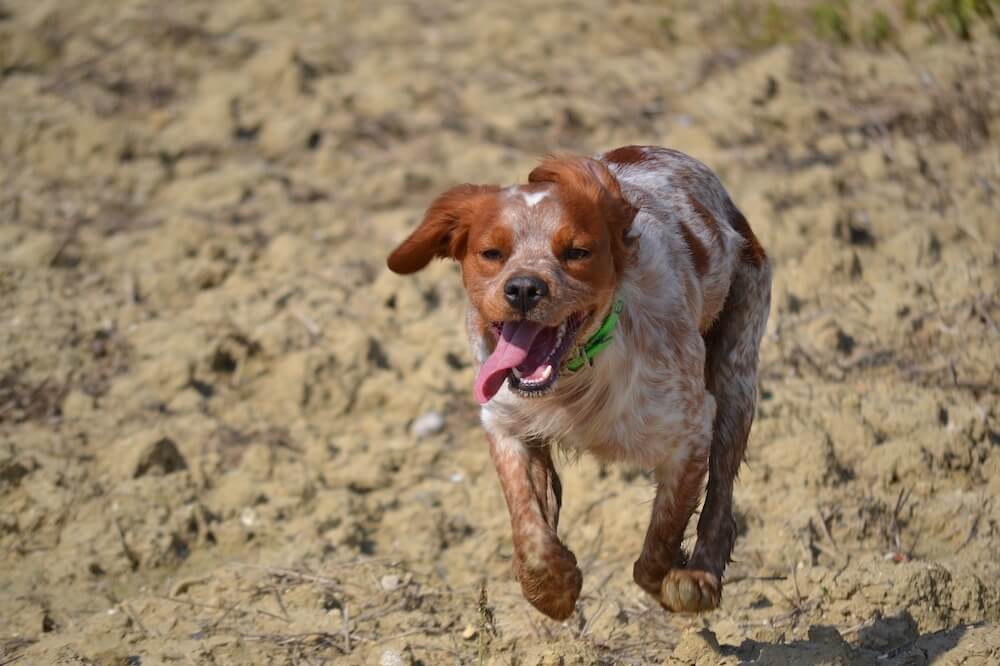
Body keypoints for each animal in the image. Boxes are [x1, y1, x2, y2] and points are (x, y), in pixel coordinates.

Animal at [386, 144, 768, 616]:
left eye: (577, 252)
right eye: (492, 252)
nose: (524, 288)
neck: (575, 378)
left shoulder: (691, 429)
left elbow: (661, 537)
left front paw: (671, 577)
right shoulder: (505, 424)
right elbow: (529, 523)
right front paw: (553, 586)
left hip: (737, 373)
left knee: (721, 498)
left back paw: (700, 575)